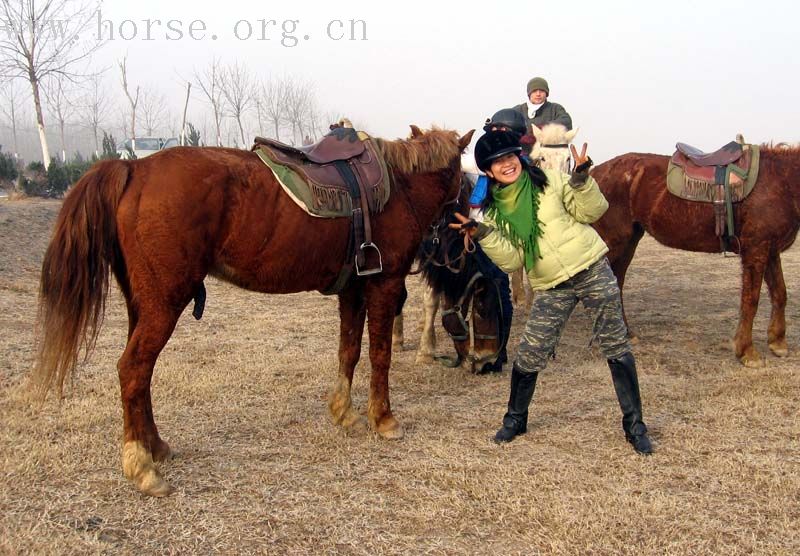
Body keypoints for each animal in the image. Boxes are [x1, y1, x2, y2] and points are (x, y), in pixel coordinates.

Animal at [32, 125, 476, 496]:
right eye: (462, 177)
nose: (468, 224)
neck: (398, 189)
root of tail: (133, 168)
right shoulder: (384, 286)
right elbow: (380, 356)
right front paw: (383, 419)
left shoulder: (352, 289)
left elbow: (348, 350)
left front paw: (344, 413)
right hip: (164, 304)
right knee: (133, 369)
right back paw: (142, 466)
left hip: (141, 305)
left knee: (140, 378)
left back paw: (155, 446)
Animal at [592, 146, 800, 368]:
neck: (779, 181)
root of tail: (595, 172)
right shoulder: (755, 250)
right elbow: (750, 300)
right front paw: (747, 351)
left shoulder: (770, 250)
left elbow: (780, 293)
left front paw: (777, 343)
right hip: (612, 242)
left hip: (629, 241)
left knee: (617, 282)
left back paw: (626, 333)